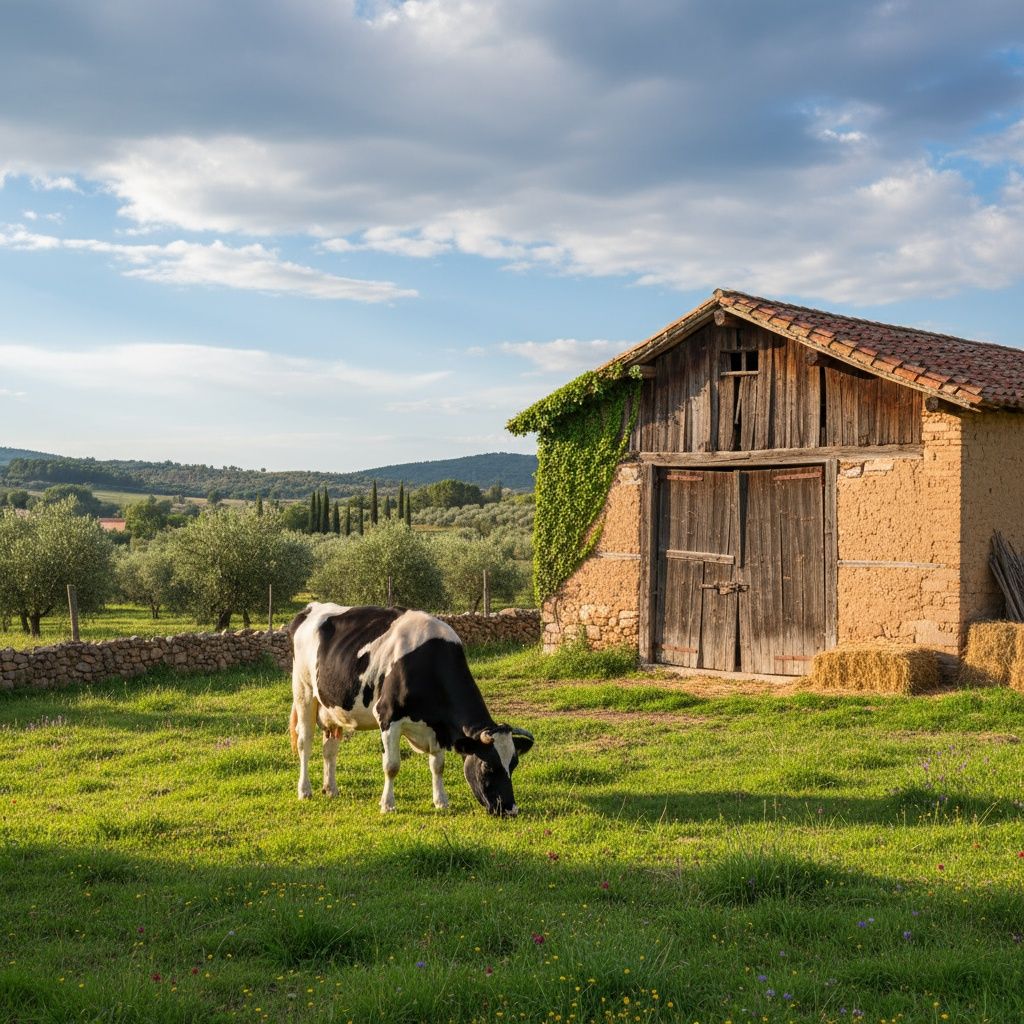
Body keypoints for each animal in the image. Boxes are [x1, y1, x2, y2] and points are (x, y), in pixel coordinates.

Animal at [288, 602, 534, 817]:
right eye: (488, 767)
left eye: (513, 764)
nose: (510, 810)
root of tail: (311, 608)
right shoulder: (388, 716)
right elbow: (391, 766)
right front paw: (387, 805)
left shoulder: (437, 727)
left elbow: (438, 765)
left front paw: (441, 801)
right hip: (303, 691)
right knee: (304, 743)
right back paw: (304, 790)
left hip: (331, 708)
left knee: (330, 748)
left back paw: (331, 789)